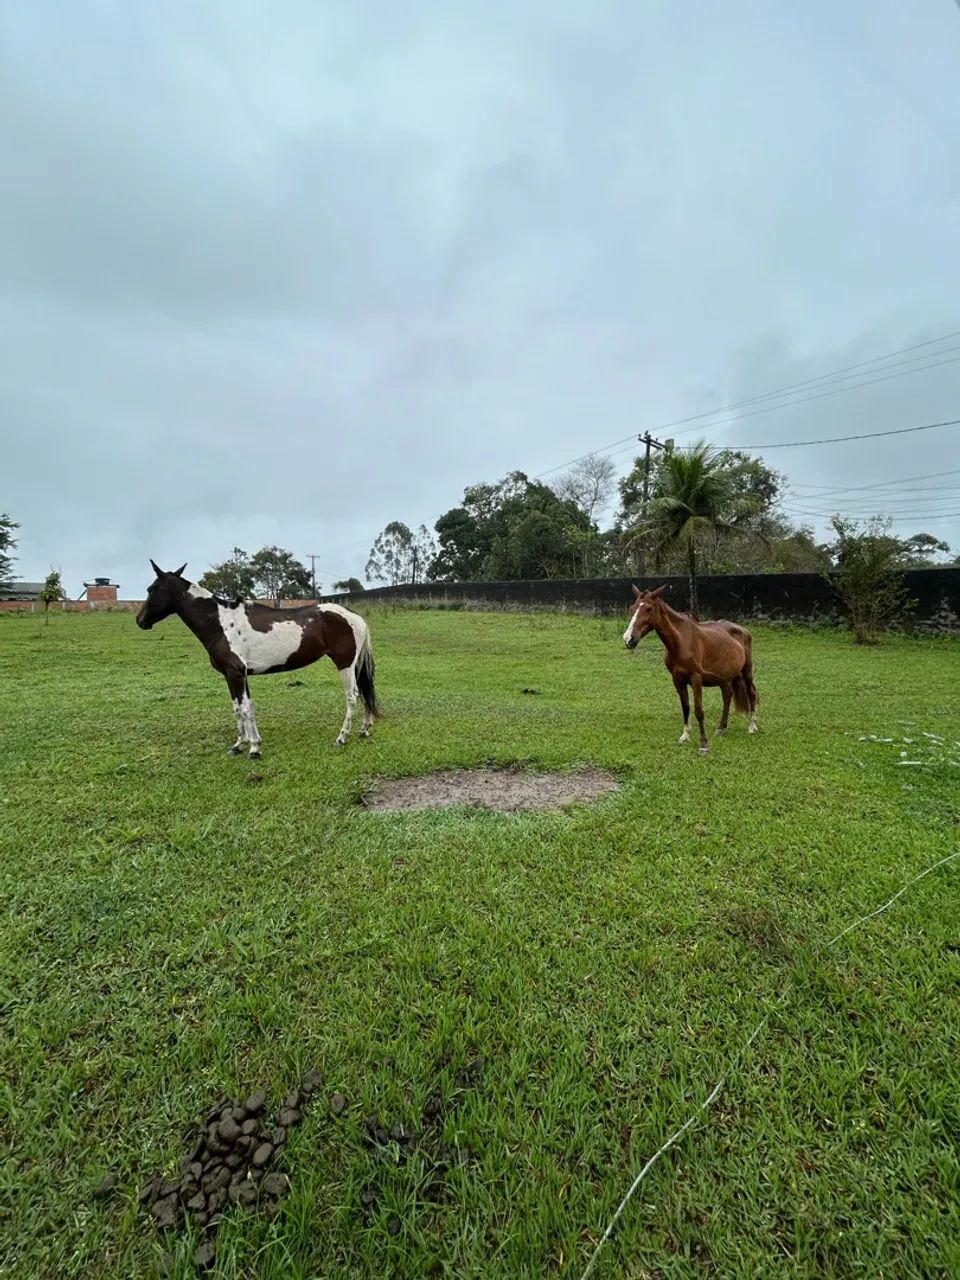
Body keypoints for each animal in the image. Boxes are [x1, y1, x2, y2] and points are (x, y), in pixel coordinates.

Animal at [136, 561, 378, 757]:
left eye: (152, 589)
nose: (140, 620)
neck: (219, 623)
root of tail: (354, 616)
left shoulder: (235, 673)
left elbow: (244, 708)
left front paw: (254, 748)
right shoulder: (237, 675)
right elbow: (240, 707)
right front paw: (239, 745)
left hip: (344, 664)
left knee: (352, 697)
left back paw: (342, 737)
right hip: (354, 665)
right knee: (364, 693)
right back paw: (364, 729)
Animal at [623, 584, 758, 754]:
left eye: (648, 608)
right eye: (632, 608)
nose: (629, 639)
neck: (681, 642)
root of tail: (742, 630)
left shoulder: (696, 679)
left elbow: (698, 710)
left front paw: (703, 743)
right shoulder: (677, 680)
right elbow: (686, 707)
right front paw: (685, 736)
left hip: (746, 671)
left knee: (751, 693)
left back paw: (752, 726)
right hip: (723, 677)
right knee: (727, 696)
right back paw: (721, 728)